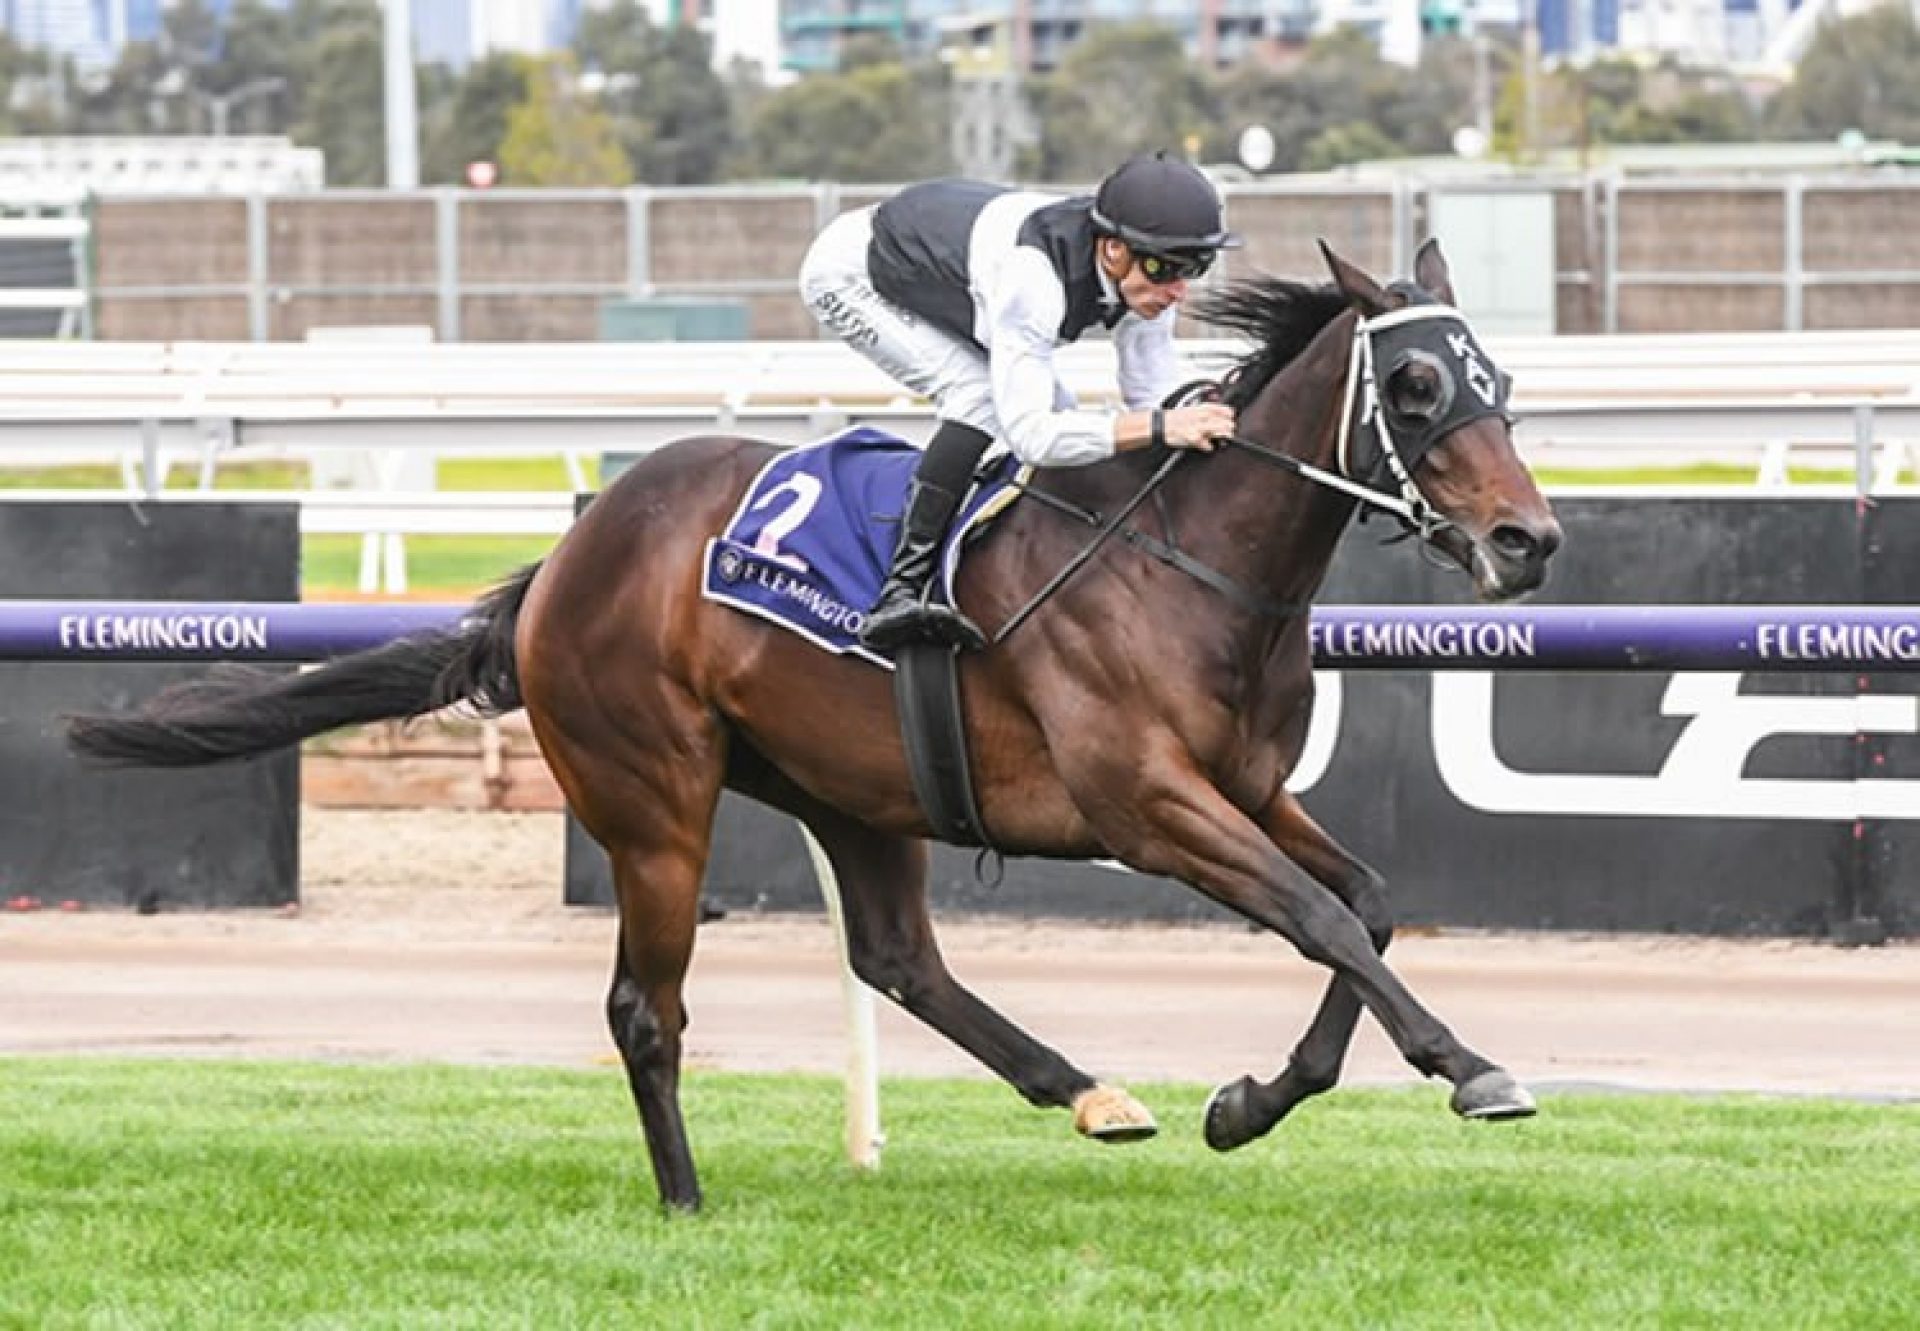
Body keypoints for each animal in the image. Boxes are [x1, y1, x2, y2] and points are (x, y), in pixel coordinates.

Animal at [71, 241, 1559, 1213]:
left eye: (1495, 375)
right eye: (1416, 387)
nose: (1528, 540)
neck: (1188, 563)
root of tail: (564, 561)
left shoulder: (1244, 786)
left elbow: (1365, 900)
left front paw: (1252, 1098)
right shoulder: (1145, 803)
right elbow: (1317, 916)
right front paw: (1472, 1067)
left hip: (855, 788)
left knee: (899, 958)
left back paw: (1090, 1089)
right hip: (652, 797)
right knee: (646, 1005)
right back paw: (684, 1199)